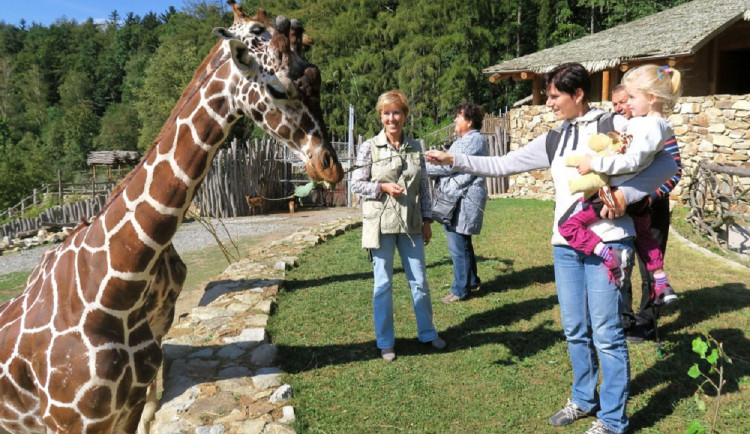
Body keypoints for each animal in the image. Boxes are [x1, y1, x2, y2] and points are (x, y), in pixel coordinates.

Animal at [0, 1, 346, 432]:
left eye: (314, 76)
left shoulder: (128, 407)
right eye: (279, 88)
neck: (114, 293)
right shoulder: (71, 421)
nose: (330, 166)